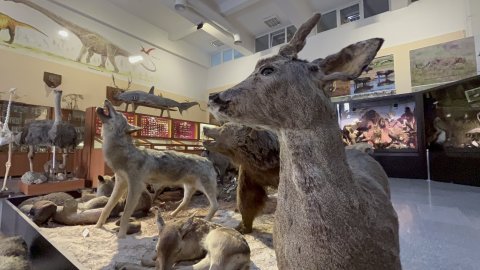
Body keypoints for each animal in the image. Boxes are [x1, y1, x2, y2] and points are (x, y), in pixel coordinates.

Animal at [94, 100, 218, 237]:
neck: (124, 153)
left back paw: (206, 220)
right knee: (185, 202)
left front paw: (121, 235)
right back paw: (173, 214)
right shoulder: (120, 183)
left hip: (205, 189)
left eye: (117, 113)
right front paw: (98, 226)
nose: (107, 100)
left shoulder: (136, 187)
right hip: (188, 188)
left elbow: (125, 214)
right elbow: (106, 208)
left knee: (215, 206)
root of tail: (208, 161)